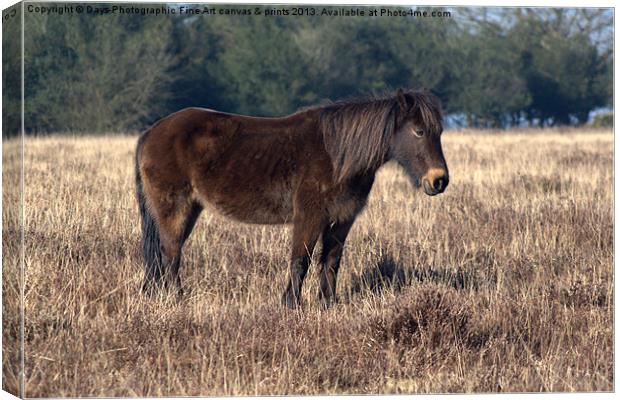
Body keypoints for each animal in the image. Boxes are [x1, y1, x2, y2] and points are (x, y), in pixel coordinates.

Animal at [134, 89, 446, 308]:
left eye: (439, 132)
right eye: (419, 131)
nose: (439, 180)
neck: (337, 154)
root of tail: (150, 132)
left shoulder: (342, 219)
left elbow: (331, 261)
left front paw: (329, 304)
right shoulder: (309, 216)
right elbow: (301, 260)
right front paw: (291, 304)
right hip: (175, 208)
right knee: (170, 253)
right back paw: (177, 299)